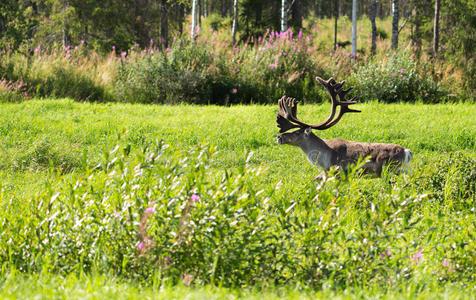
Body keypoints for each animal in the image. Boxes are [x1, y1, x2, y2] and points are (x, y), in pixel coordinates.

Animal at [278, 77, 410, 178]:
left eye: (297, 132)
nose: (279, 137)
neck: (323, 156)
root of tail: (407, 152)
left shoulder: (338, 171)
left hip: (391, 170)